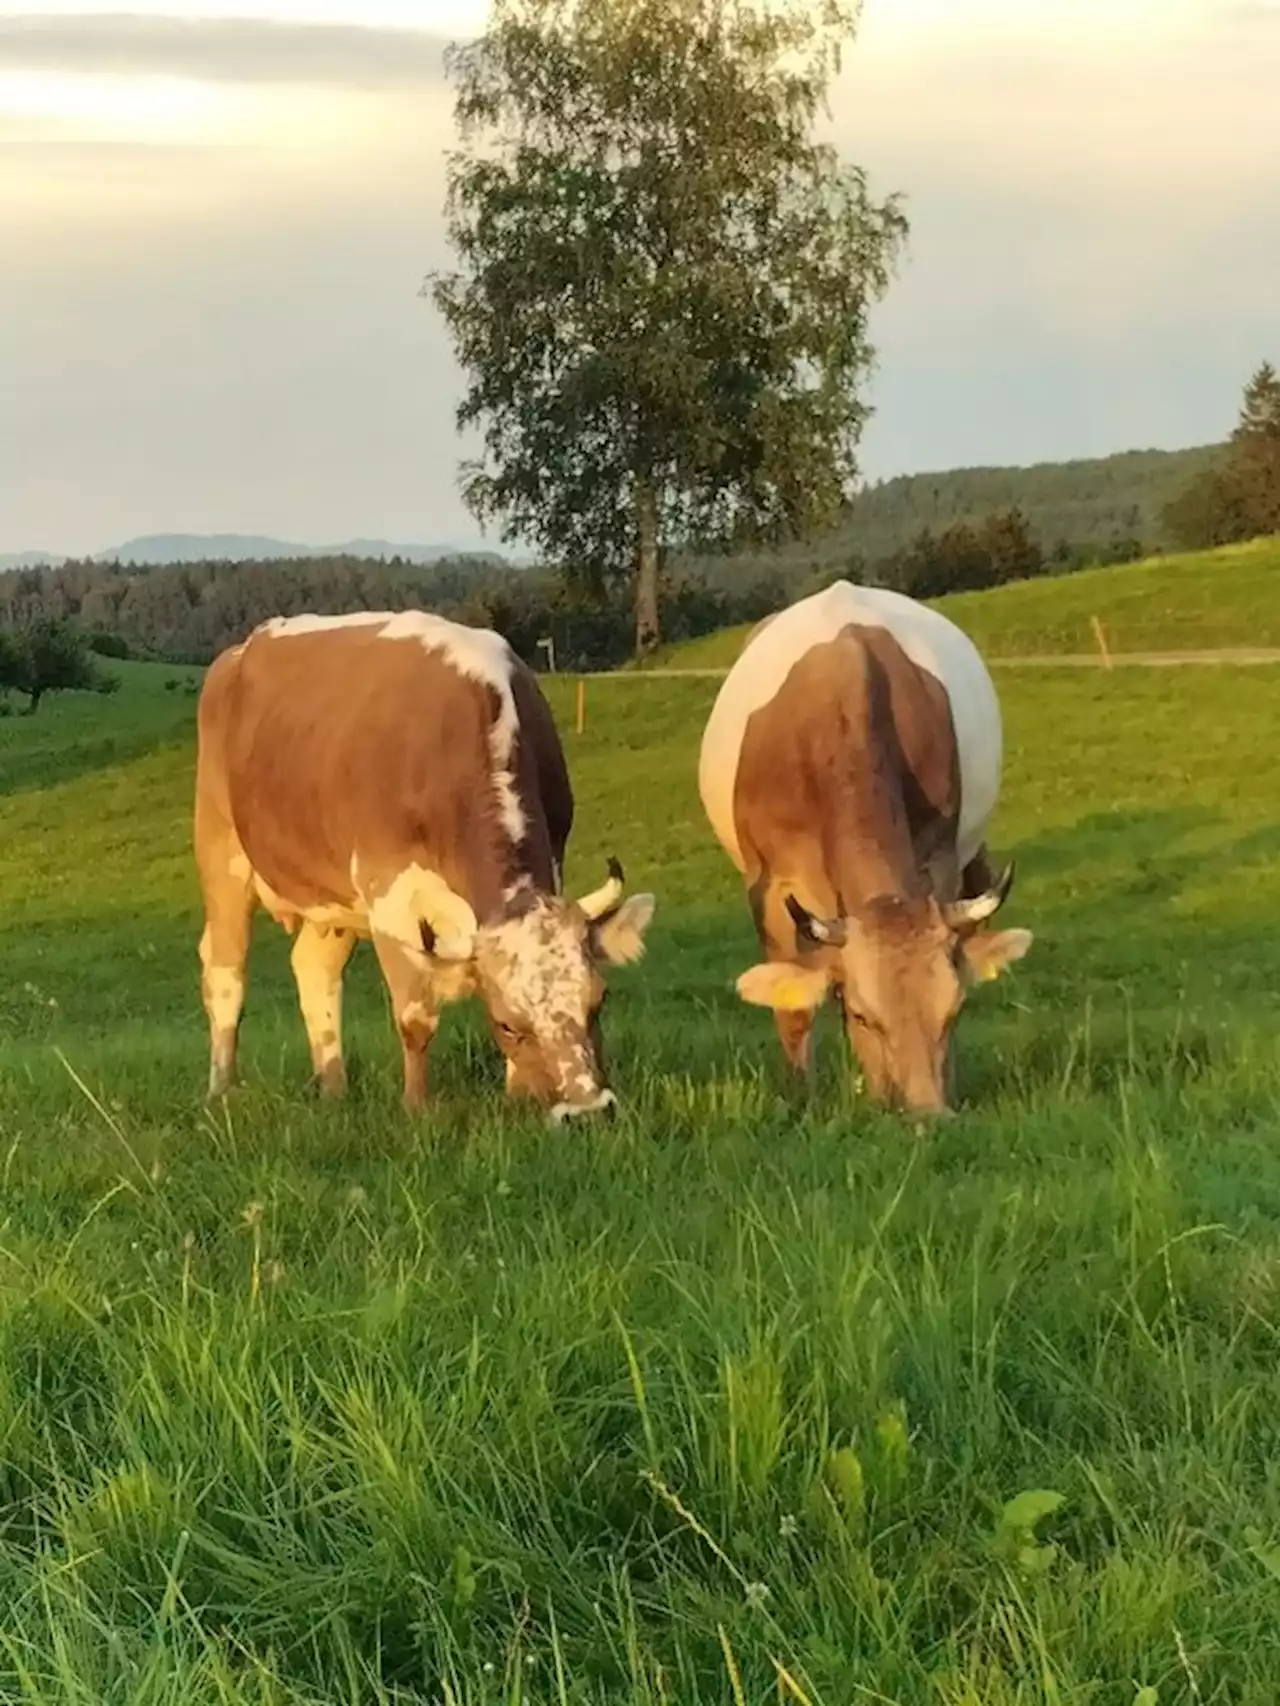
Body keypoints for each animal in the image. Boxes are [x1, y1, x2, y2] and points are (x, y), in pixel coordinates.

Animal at [197, 614, 662, 1119]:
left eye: (598, 1001)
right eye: (508, 1024)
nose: (588, 1111)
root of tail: (239, 652)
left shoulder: (555, 855)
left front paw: (515, 1093)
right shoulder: (388, 896)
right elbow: (415, 1017)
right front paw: (417, 1108)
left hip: (330, 899)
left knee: (314, 969)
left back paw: (334, 1090)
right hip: (222, 855)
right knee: (225, 973)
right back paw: (221, 1090)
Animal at [696, 583, 1037, 1119]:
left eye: (953, 1010)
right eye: (862, 1016)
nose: (928, 1117)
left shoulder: (937, 860)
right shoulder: (770, 886)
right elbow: (794, 1006)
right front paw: (803, 1101)